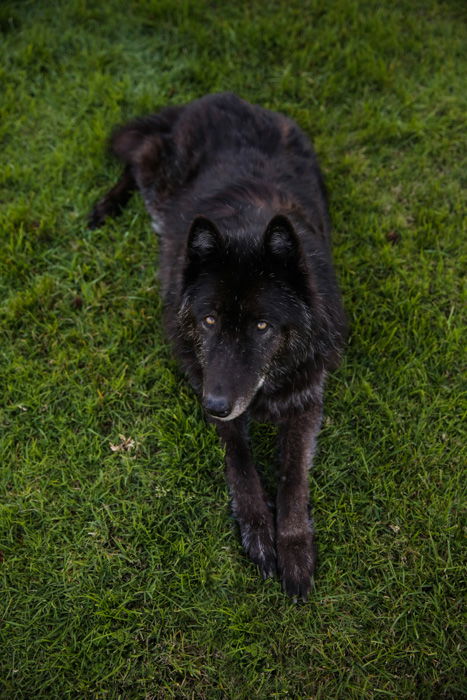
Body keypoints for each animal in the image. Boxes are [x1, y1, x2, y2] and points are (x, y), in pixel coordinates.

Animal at [91, 91, 348, 596]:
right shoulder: (209, 390)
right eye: (209, 320)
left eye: (262, 326)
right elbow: (241, 464)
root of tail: (218, 97)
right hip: (157, 182)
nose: (215, 404)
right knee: (134, 153)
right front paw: (258, 530)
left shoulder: (308, 401)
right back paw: (104, 207)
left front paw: (294, 546)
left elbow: (292, 479)